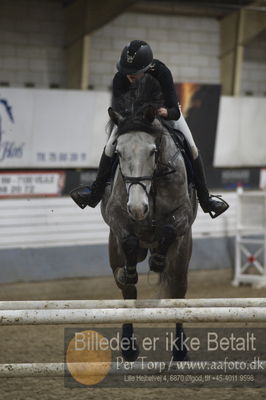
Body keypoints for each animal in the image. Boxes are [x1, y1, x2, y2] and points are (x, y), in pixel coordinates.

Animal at [101, 74, 196, 360]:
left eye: (153, 151)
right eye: (118, 152)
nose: (138, 208)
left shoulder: (183, 216)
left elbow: (168, 230)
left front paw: (157, 260)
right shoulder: (116, 217)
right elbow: (129, 241)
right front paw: (130, 271)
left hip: (181, 260)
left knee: (177, 292)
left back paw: (179, 350)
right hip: (114, 251)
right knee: (128, 291)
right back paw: (128, 347)